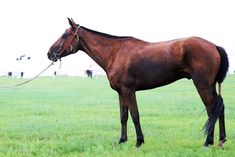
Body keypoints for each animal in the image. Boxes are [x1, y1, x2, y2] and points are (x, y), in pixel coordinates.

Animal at [46, 18, 229, 147]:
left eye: (64, 35)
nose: (49, 53)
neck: (115, 53)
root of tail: (214, 46)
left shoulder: (128, 90)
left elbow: (135, 115)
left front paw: (139, 141)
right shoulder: (120, 92)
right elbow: (123, 116)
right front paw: (122, 140)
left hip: (202, 86)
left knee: (211, 110)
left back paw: (208, 142)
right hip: (210, 86)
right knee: (219, 108)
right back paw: (221, 140)